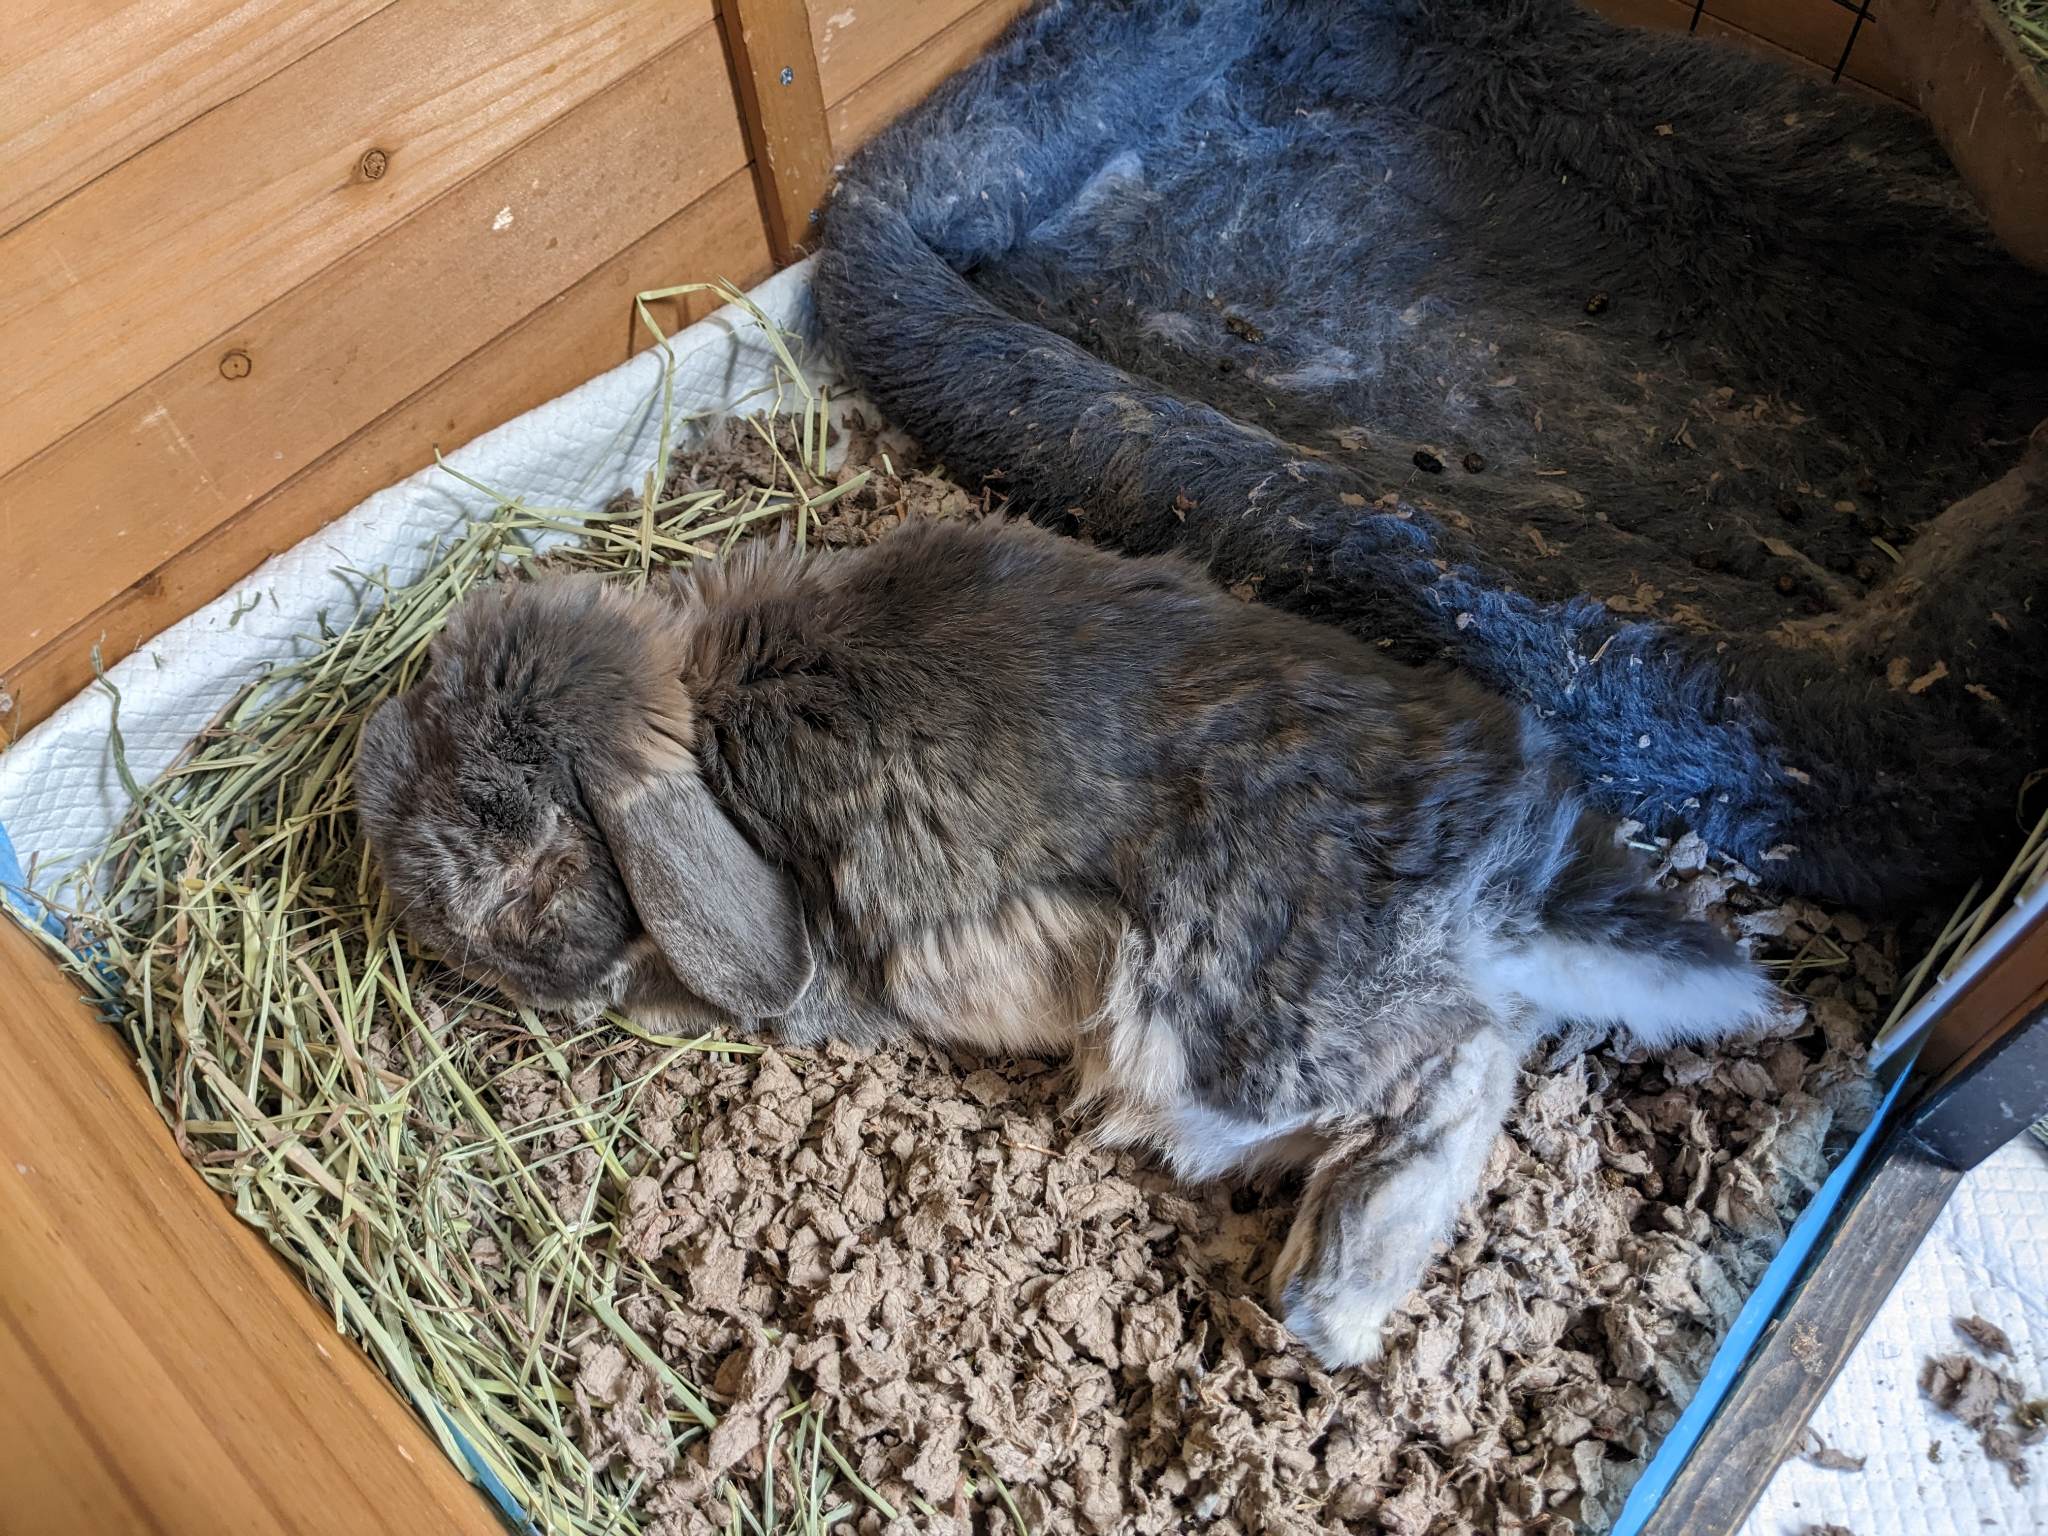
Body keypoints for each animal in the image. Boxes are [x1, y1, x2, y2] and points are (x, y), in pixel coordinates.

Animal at [356, 518, 1777, 1368]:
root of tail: (1505, 882)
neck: (701, 717)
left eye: (523, 867)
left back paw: (1332, 1297)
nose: (439, 936)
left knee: (1448, 1071)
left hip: (1215, 1043)